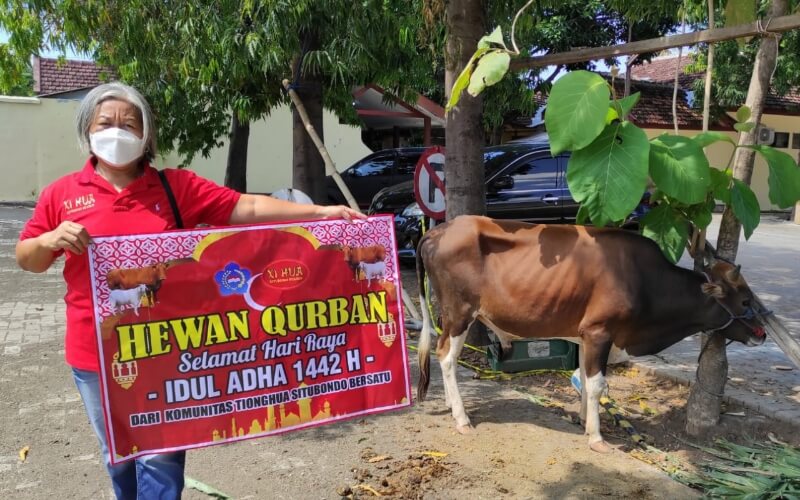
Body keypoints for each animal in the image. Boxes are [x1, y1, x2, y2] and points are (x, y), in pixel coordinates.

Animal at [416, 216, 769, 453]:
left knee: (442, 354)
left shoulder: (587, 336)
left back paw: (450, 404)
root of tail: (438, 230)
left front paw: (583, 420)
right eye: (745, 300)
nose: (763, 334)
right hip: (460, 314)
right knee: (446, 356)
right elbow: (599, 384)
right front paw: (597, 437)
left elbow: (585, 379)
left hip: (450, 314)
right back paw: (461, 418)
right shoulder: (600, 332)